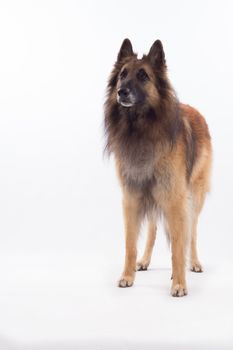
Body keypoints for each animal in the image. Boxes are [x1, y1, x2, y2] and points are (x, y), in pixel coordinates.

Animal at [104, 38, 211, 296]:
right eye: (122, 75)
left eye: (143, 76)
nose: (122, 92)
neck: (141, 129)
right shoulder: (132, 197)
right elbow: (130, 244)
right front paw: (128, 275)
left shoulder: (175, 199)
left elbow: (179, 244)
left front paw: (179, 283)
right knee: (152, 229)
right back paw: (144, 260)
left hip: (193, 197)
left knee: (191, 233)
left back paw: (193, 263)